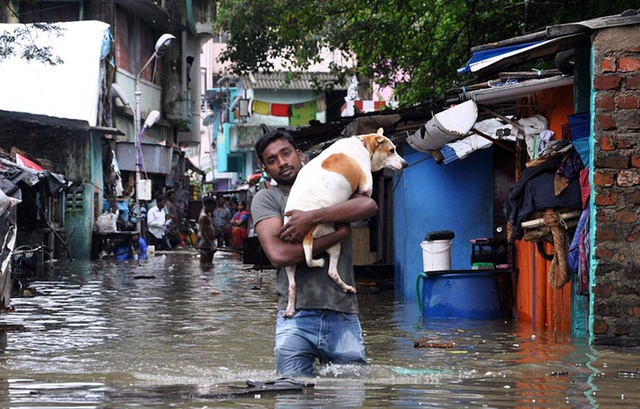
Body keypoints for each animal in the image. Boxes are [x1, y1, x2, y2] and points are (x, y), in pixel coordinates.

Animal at [282, 127, 408, 316]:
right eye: (392, 150)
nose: (406, 163)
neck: (364, 143)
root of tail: (307, 234)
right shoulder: (366, 188)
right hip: (333, 243)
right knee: (331, 272)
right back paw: (347, 287)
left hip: (291, 259)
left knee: (292, 285)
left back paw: (290, 309)